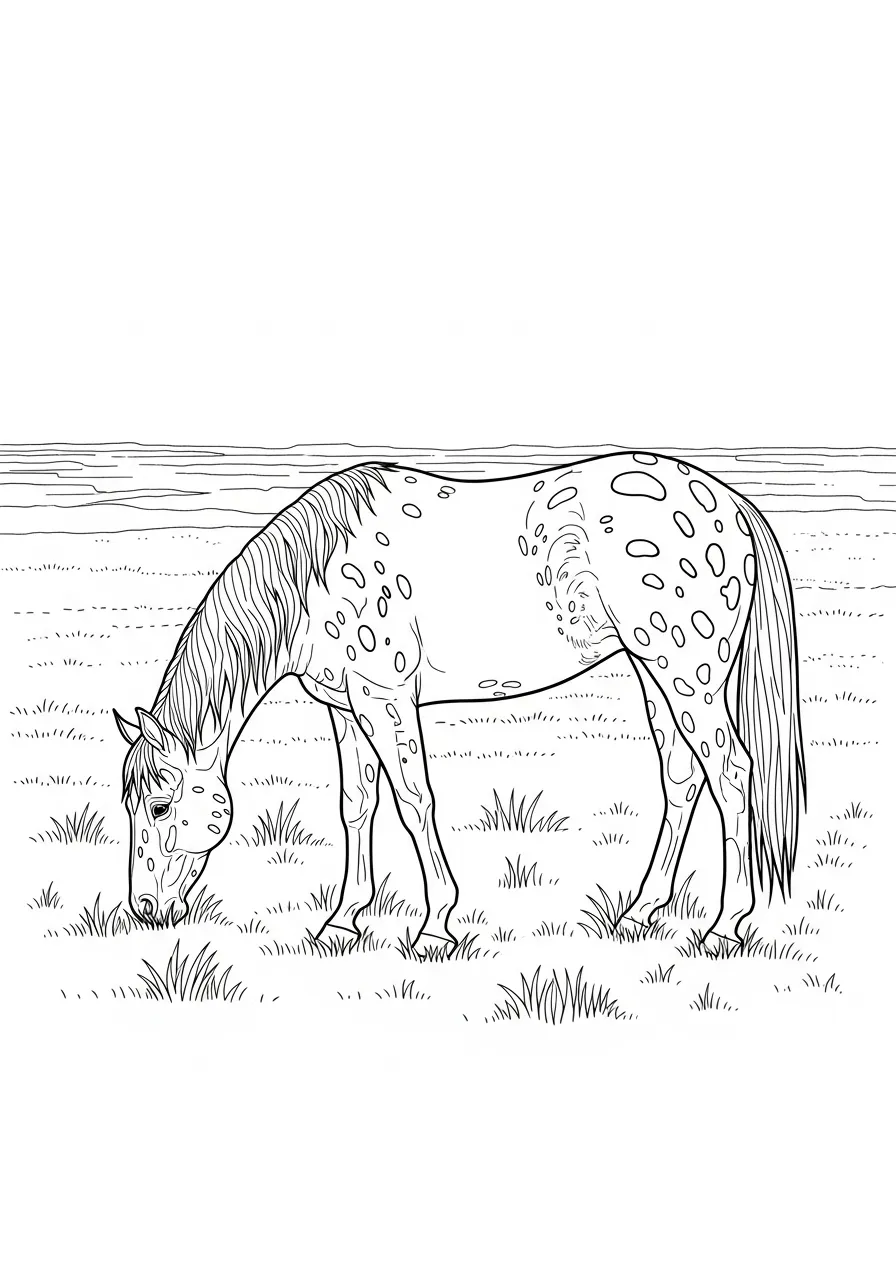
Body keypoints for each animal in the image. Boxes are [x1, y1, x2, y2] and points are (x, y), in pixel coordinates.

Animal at [115, 451, 805, 951]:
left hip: (689, 672)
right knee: (682, 776)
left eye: (158, 805)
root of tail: (733, 505)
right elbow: (355, 806)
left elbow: (414, 800)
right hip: (654, 669)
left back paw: (726, 926)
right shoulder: (344, 707)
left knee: (731, 773)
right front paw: (341, 921)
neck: (317, 574)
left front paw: (434, 926)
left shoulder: (385, 698)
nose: (144, 910)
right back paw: (638, 914)